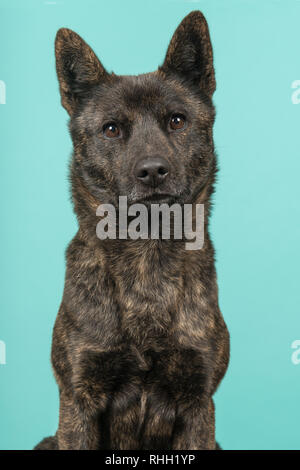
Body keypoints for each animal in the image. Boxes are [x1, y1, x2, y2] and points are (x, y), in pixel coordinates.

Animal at [34, 11, 230, 450]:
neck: (147, 258)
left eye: (177, 120)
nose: (153, 170)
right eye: (111, 129)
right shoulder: (79, 401)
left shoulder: (198, 403)